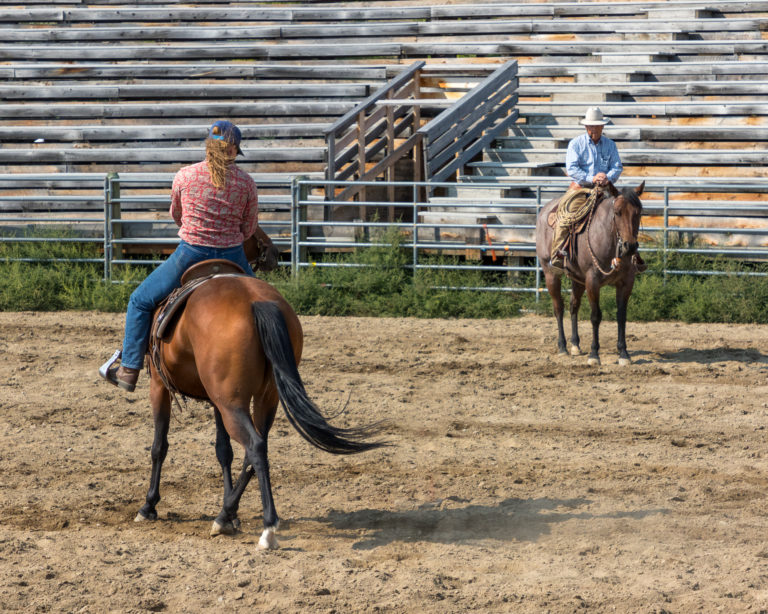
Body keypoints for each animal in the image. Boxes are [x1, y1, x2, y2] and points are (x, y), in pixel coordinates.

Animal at [136, 229, 388, 552]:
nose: (273, 252)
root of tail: (256, 302)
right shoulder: (216, 400)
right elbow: (223, 450)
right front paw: (232, 514)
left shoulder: (159, 385)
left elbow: (159, 446)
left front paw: (148, 506)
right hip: (262, 399)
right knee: (256, 449)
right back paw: (225, 515)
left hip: (232, 403)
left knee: (255, 446)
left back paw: (266, 528)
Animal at [536, 180, 644, 368]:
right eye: (617, 212)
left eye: (638, 212)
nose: (629, 246)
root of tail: (544, 210)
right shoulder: (592, 281)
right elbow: (595, 316)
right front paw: (594, 354)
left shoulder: (626, 282)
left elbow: (621, 316)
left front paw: (624, 353)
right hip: (550, 273)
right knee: (558, 308)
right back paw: (563, 347)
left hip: (577, 279)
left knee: (573, 305)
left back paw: (575, 345)